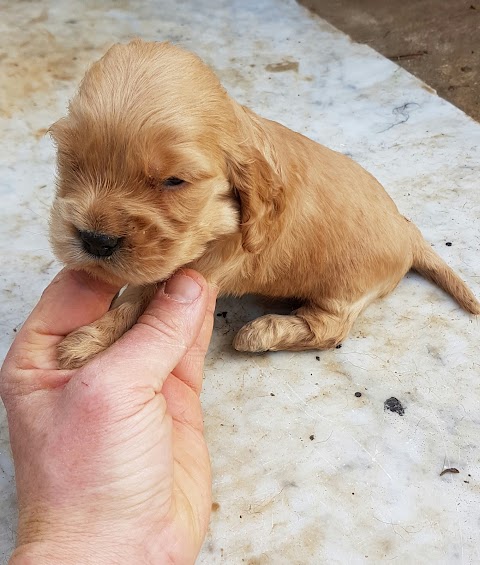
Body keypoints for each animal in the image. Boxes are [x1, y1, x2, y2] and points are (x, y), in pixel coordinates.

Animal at [49, 37, 480, 368]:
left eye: (174, 181)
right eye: (72, 162)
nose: (95, 241)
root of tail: (410, 235)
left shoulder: (207, 262)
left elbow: (138, 299)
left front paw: (87, 341)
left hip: (347, 286)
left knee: (330, 328)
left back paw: (261, 332)